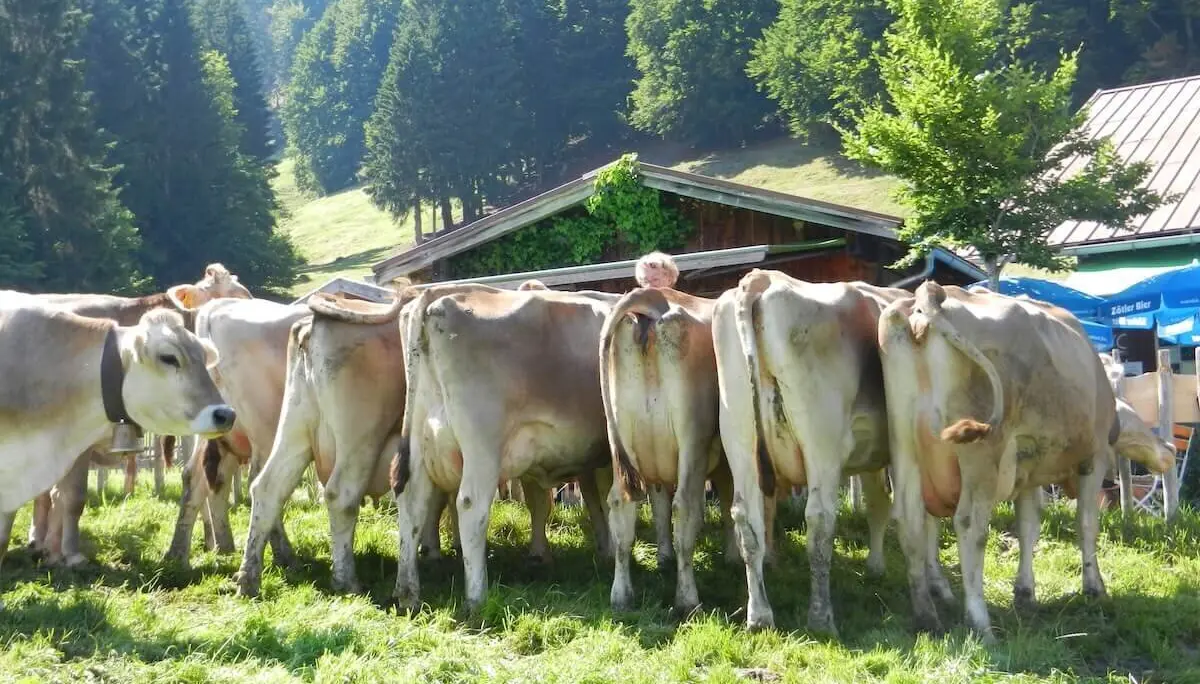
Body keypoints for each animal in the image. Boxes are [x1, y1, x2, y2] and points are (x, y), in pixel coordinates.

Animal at [235, 292, 413, 596]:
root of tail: (312, 324)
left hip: (295, 428)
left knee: (267, 487)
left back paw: (249, 577)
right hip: (361, 436)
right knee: (340, 495)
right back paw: (346, 580)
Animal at [389, 284, 623, 613]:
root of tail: (434, 297)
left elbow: (580, 499)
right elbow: (602, 497)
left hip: (421, 444)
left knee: (412, 503)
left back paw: (407, 593)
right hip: (482, 448)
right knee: (470, 506)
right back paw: (477, 597)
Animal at [600, 252, 736, 617]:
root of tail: (654, 298)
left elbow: (659, 504)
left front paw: (663, 557)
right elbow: (729, 500)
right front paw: (733, 555)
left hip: (624, 441)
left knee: (621, 506)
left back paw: (621, 594)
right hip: (692, 440)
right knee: (686, 507)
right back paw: (688, 598)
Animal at [713, 270, 910, 636]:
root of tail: (763, 278)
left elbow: (877, 503)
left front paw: (875, 567)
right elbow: (884, 505)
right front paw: (878, 566)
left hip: (740, 437)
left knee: (747, 521)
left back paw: (760, 615)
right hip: (822, 444)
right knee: (819, 522)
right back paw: (821, 618)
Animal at [878, 281, 1121, 641]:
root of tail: (929, 296)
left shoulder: (1029, 469)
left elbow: (1029, 526)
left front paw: (1025, 593)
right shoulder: (1094, 457)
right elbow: (1087, 524)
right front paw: (1095, 588)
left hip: (904, 446)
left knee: (910, 522)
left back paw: (926, 617)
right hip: (981, 455)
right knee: (969, 525)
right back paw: (980, 622)